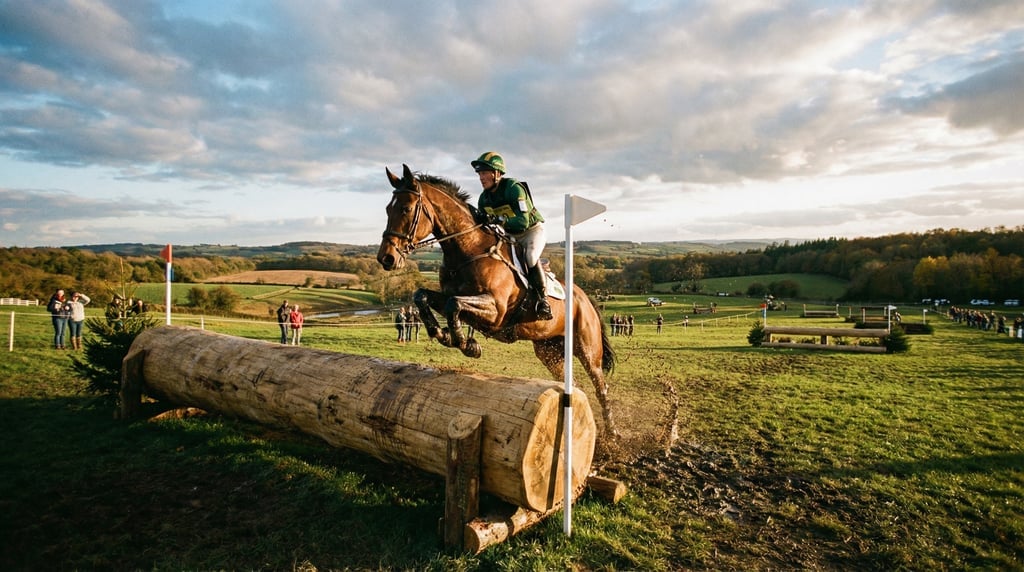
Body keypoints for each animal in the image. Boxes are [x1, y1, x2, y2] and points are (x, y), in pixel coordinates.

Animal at [376, 164, 617, 437]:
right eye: (388, 209)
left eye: (405, 209)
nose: (386, 258)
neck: (468, 249)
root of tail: (585, 298)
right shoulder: (453, 297)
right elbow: (423, 296)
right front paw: (444, 334)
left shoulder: (496, 311)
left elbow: (453, 304)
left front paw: (465, 344)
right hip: (549, 350)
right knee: (572, 383)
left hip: (587, 349)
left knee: (600, 386)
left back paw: (612, 435)